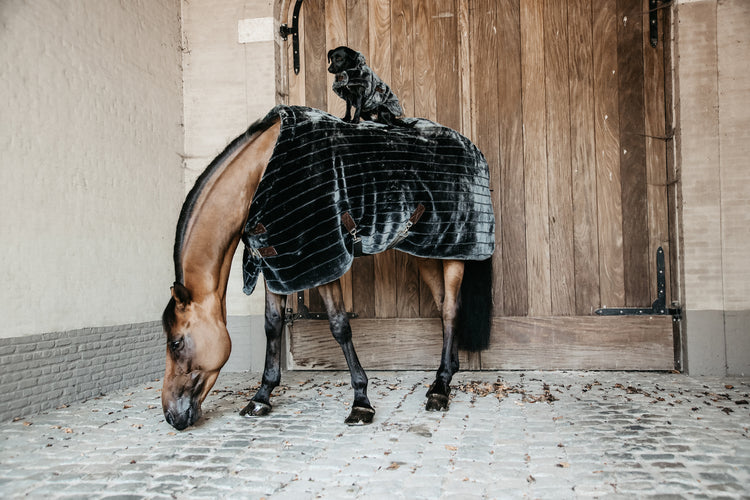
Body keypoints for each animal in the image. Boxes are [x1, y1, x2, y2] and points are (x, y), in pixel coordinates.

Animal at [162, 105, 496, 430]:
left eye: (176, 342)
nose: (170, 416)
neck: (262, 173)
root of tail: (474, 149)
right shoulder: (277, 262)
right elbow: (272, 325)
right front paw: (261, 397)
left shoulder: (321, 258)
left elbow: (339, 326)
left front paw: (361, 402)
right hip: (426, 250)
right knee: (442, 306)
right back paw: (446, 374)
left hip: (458, 248)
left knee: (451, 309)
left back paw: (440, 389)